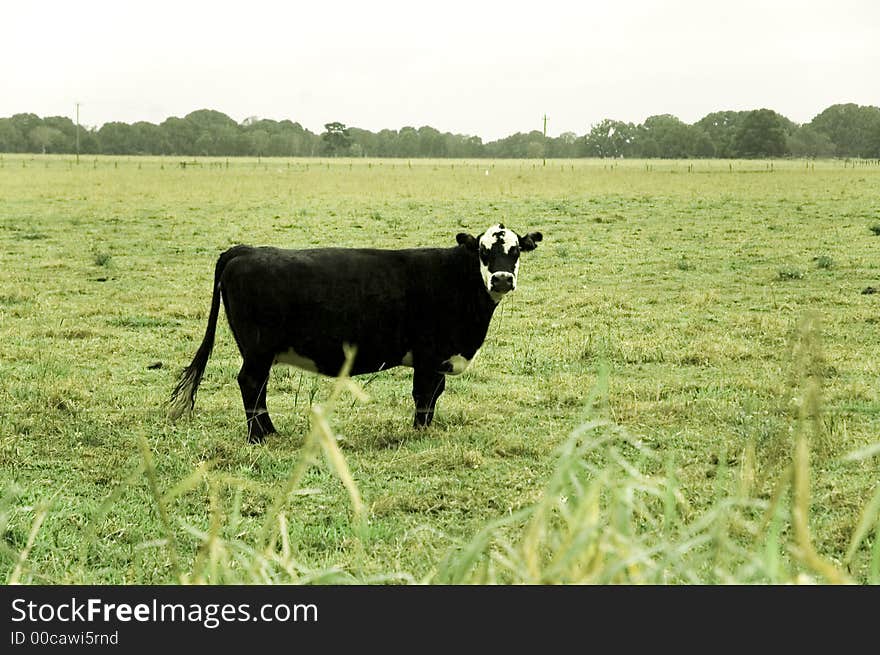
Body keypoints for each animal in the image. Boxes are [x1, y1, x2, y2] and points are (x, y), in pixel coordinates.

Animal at [170, 223, 544, 444]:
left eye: (515, 251)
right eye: (483, 251)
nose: (501, 279)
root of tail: (245, 250)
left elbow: (433, 395)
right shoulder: (429, 355)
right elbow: (425, 396)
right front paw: (421, 431)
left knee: (256, 386)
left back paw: (270, 432)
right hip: (258, 349)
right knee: (250, 383)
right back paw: (258, 437)